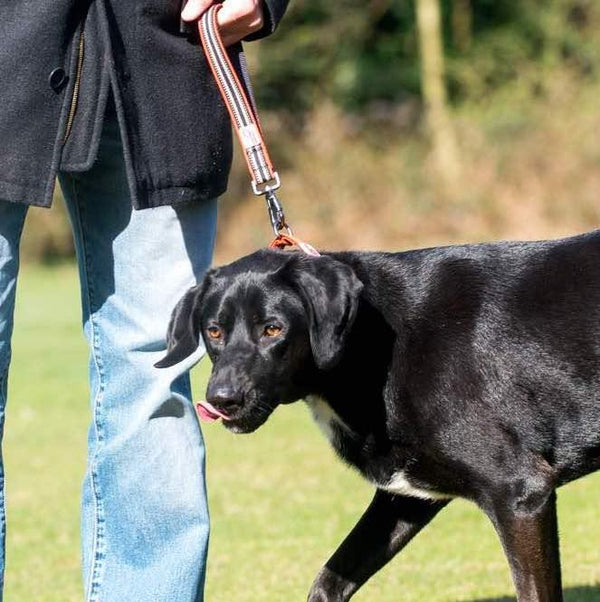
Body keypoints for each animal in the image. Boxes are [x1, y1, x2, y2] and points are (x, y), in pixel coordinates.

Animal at [156, 231, 600, 600]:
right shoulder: (403, 499)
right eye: (214, 331)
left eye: (272, 329)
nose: (222, 399)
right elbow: (328, 581)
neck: (368, 342)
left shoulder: (521, 494)